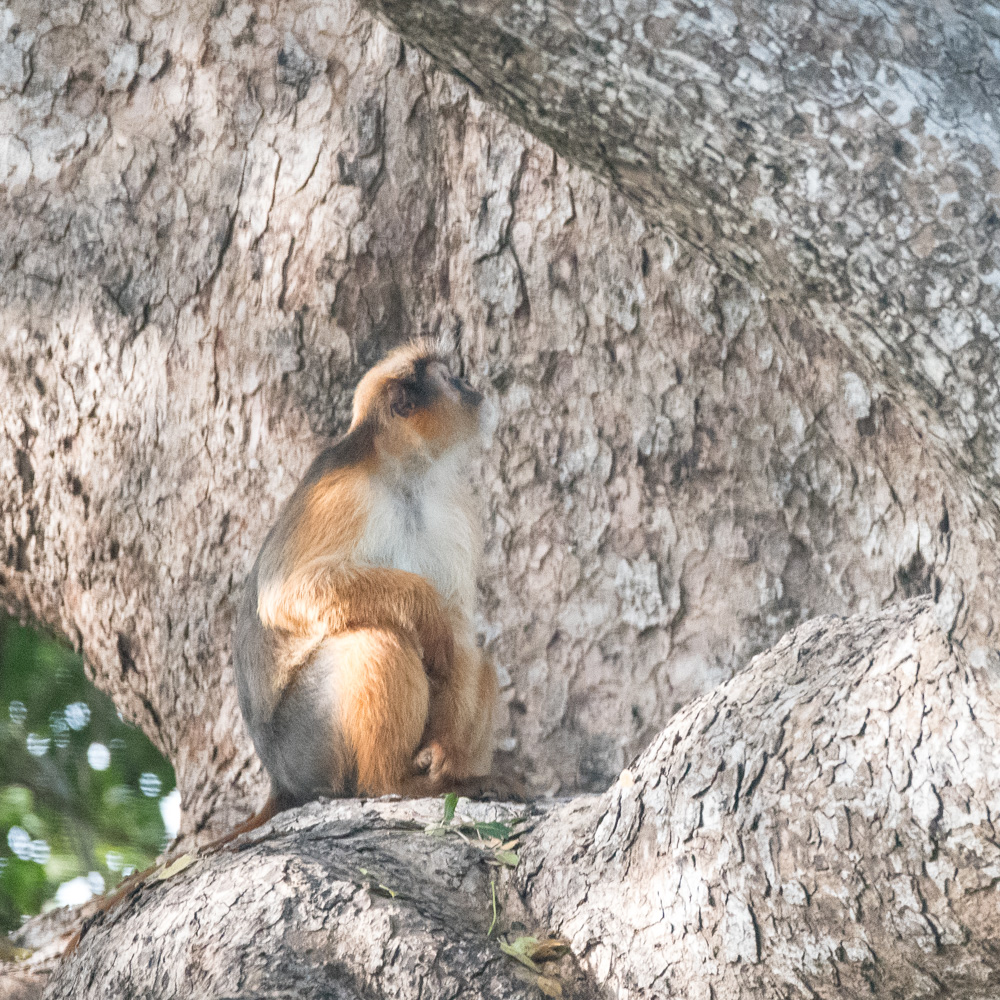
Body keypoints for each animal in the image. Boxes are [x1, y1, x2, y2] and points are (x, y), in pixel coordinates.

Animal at [233, 340, 500, 808]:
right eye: (453, 380)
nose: (474, 390)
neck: (405, 480)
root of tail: (281, 780)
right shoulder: (343, 492)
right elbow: (286, 594)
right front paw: (423, 606)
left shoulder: (449, 505)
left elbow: (457, 627)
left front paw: (446, 752)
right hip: (305, 743)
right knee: (378, 637)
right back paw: (392, 781)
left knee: (474, 655)